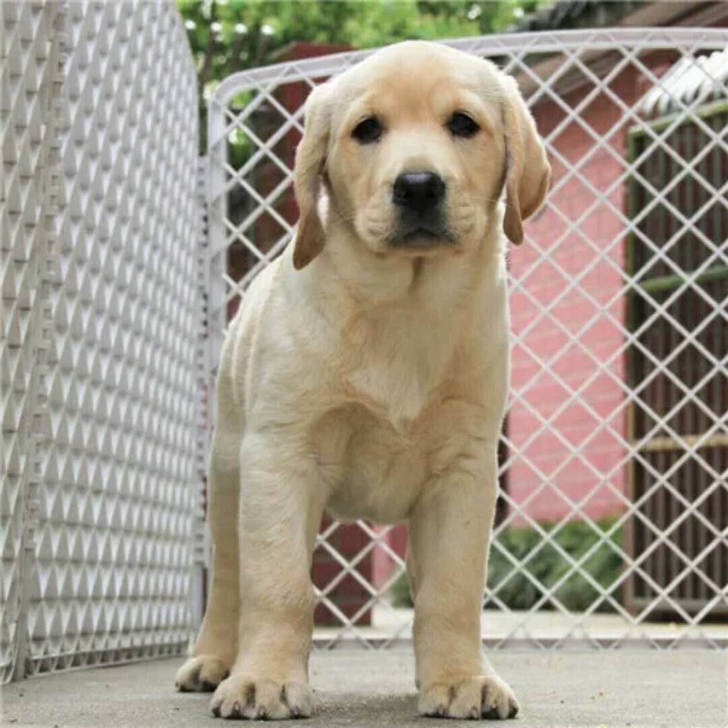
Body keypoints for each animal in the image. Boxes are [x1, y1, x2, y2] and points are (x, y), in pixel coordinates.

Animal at [178, 41, 544, 724]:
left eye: (463, 124)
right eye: (367, 130)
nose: (419, 185)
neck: (404, 303)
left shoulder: (464, 469)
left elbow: (452, 588)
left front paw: (460, 678)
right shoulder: (281, 459)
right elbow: (279, 586)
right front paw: (264, 679)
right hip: (232, 476)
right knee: (232, 582)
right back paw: (214, 661)